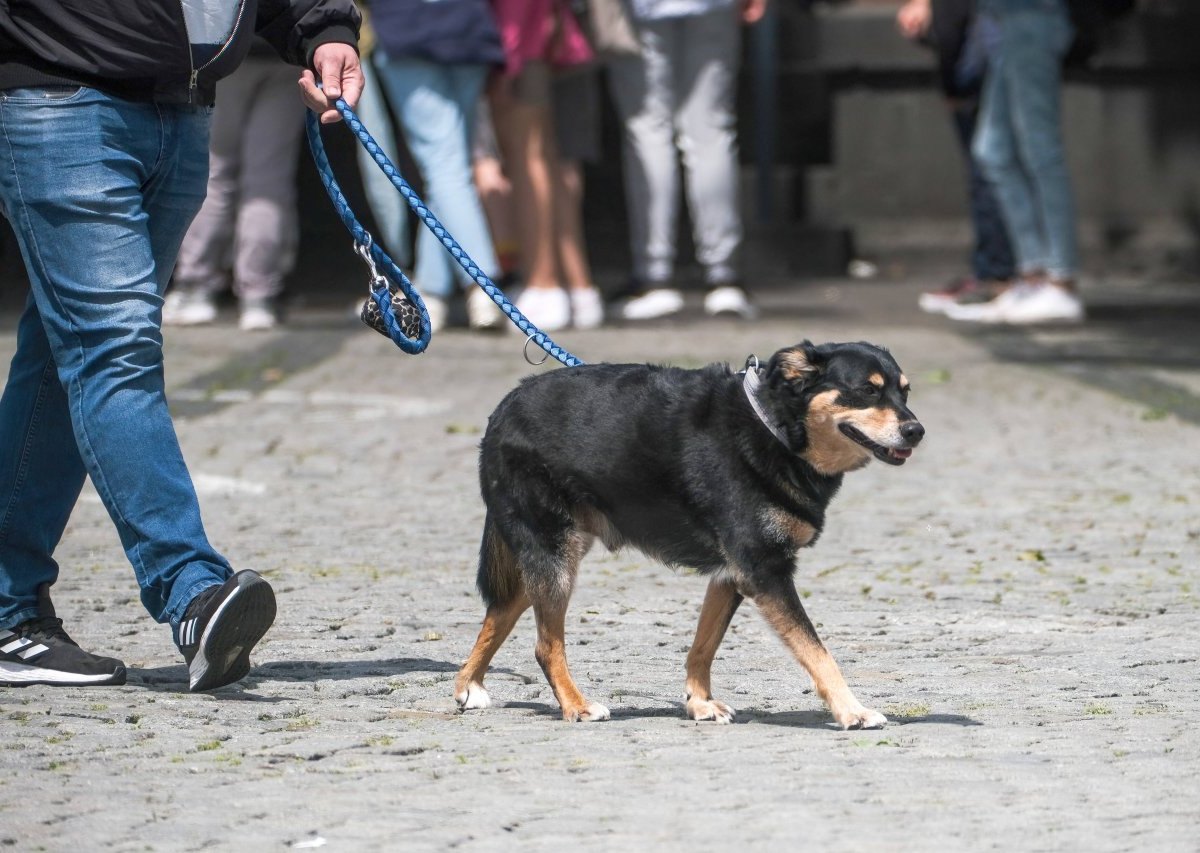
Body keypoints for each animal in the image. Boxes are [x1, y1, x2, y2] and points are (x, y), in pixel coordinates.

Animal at [453, 343, 921, 734]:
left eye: (905, 392)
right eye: (867, 391)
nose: (916, 430)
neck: (774, 429)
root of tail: (504, 408)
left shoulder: (731, 574)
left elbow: (703, 646)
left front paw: (699, 703)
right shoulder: (765, 571)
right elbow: (819, 654)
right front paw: (852, 711)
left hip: (549, 556)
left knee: (499, 613)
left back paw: (468, 686)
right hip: (555, 555)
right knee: (545, 645)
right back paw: (575, 705)